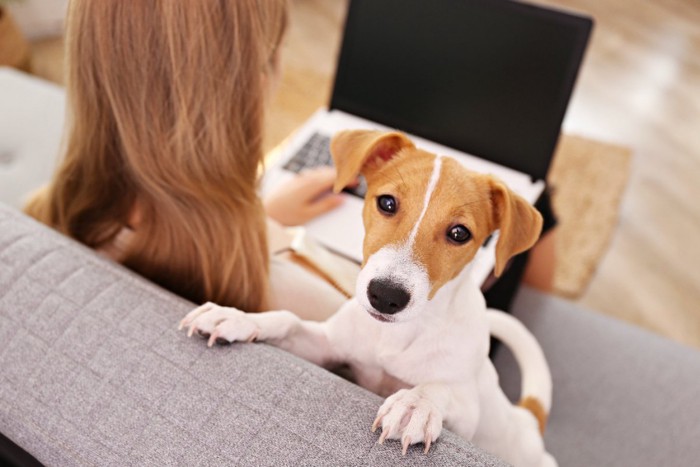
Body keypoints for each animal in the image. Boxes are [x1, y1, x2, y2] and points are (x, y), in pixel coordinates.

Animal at [180, 130, 556, 466]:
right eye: (387, 203)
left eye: (459, 233)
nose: (386, 296)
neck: (396, 335)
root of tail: (528, 420)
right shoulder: (327, 347)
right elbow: (287, 320)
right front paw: (237, 317)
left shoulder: (467, 414)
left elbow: (438, 387)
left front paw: (414, 404)